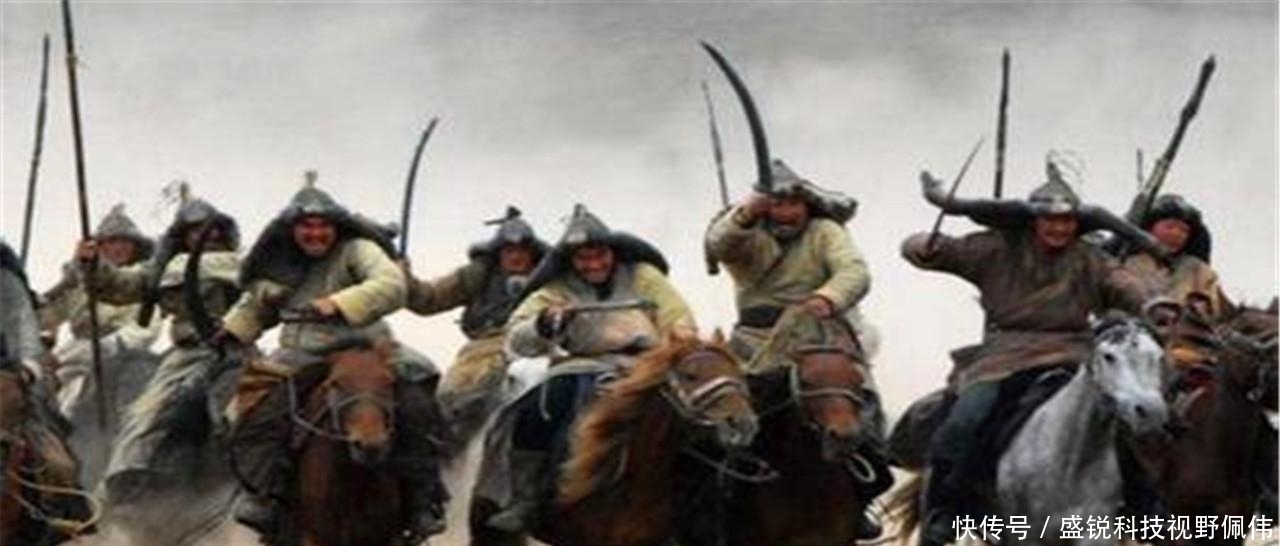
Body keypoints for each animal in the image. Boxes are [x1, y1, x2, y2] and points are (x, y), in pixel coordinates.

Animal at [888, 317, 1169, 546]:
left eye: (1158, 357)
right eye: (1109, 356)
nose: (1150, 412)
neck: (1069, 460)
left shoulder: (1095, 533)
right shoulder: (1026, 535)